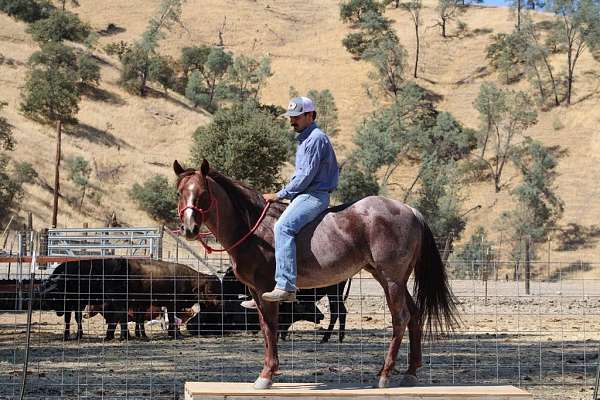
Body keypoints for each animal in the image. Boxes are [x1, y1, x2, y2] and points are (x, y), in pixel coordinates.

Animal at [173, 159, 460, 388]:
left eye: (202, 193)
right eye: (179, 192)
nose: (189, 228)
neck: (253, 227)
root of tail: (409, 210)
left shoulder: (265, 289)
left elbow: (271, 328)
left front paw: (266, 375)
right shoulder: (256, 291)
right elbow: (266, 328)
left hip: (390, 280)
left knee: (400, 318)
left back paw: (385, 374)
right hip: (391, 279)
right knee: (415, 314)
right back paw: (410, 373)